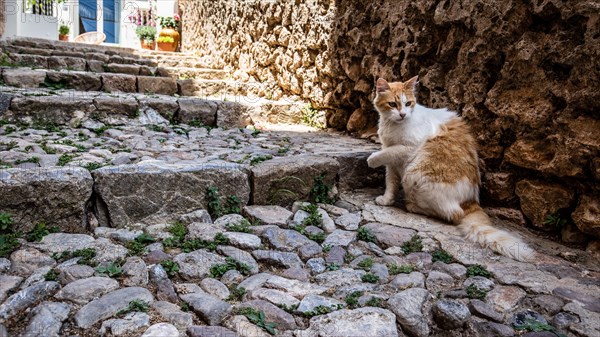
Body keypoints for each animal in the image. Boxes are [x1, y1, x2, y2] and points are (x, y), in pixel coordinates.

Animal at [366, 75, 536, 262]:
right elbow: (390, 182)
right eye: (393, 104)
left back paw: (412, 205)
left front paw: (371, 160)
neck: (392, 125)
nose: (403, 114)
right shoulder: (391, 163)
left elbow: (384, 154)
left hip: (415, 173)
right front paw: (387, 200)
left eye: (408, 103)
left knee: (453, 213)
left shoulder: (408, 148)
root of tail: (471, 201)